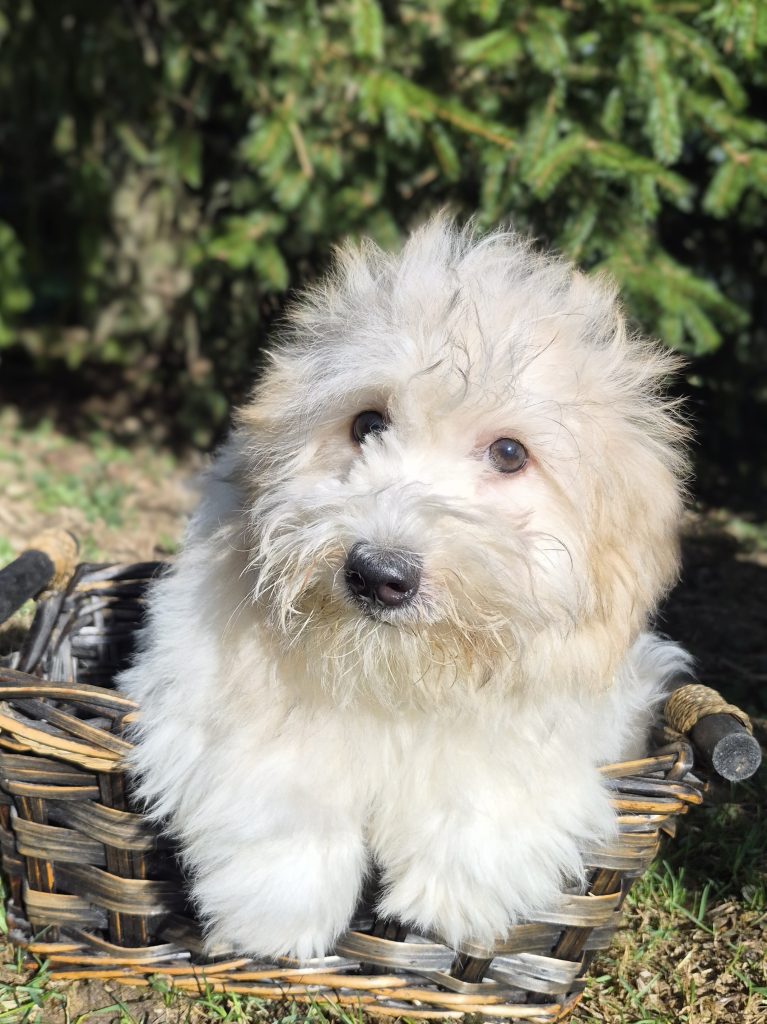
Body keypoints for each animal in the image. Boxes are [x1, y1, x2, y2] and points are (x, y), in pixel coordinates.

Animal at [119, 217, 691, 961]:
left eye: (509, 453)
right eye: (367, 423)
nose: (376, 574)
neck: (395, 671)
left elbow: (496, 772)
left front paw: (449, 899)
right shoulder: (199, 671)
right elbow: (277, 770)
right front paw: (279, 913)